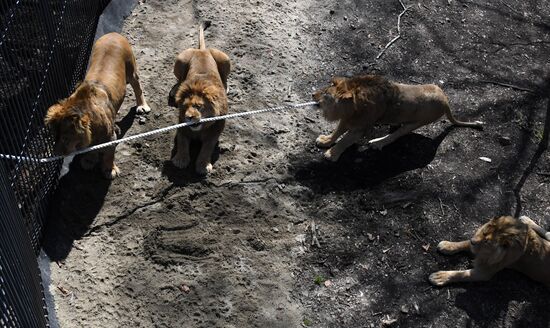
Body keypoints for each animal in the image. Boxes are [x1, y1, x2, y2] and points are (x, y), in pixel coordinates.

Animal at [44, 32, 151, 179]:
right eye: (55, 136)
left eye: (66, 138)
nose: (57, 154)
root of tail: (114, 33)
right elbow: (91, 150)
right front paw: (89, 160)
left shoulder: (110, 138)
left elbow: (109, 154)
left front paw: (110, 170)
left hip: (131, 68)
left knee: (138, 87)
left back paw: (142, 106)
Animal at [170, 21, 231, 176]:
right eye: (185, 107)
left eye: (199, 106)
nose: (189, 117)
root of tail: (202, 50)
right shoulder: (182, 127)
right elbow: (182, 143)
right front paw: (180, 160)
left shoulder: (214, 132)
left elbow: (207, 148)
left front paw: (203, 165)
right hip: (180, 60)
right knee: (179, 79)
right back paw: (175, 90)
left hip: (225, 59)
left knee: (225, 77)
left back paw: (226, 87)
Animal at [312, 74, 486, 161]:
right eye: (324, 89)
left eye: (325, 94)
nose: (312, 94)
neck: (354, 105)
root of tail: (446, 101)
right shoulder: (347, 119)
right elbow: (336, 132)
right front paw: (325, 140)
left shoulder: (361, 128)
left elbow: (345, 141)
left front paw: (332, 154)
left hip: (417, 122)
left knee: (396, 135)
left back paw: (377, 142)